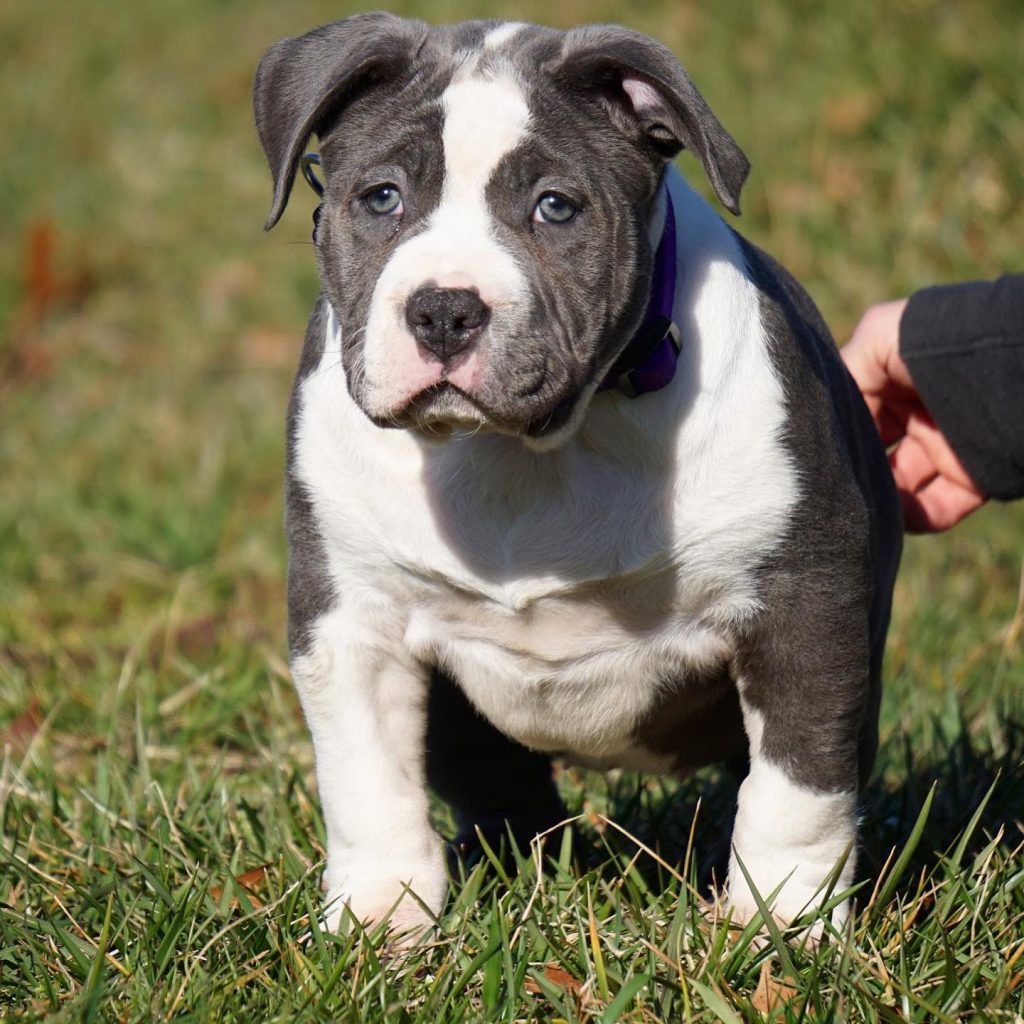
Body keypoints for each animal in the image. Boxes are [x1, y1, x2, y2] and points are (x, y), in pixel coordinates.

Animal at [251, 14, 901, 937]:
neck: (531, 450)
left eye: (554, 207)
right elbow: (368, 783)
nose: (444, 309)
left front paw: (778, 926)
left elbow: (799, 785)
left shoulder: (807, 605)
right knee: (495, 782)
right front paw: (380, 923)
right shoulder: (352, 619)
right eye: (381, 198)